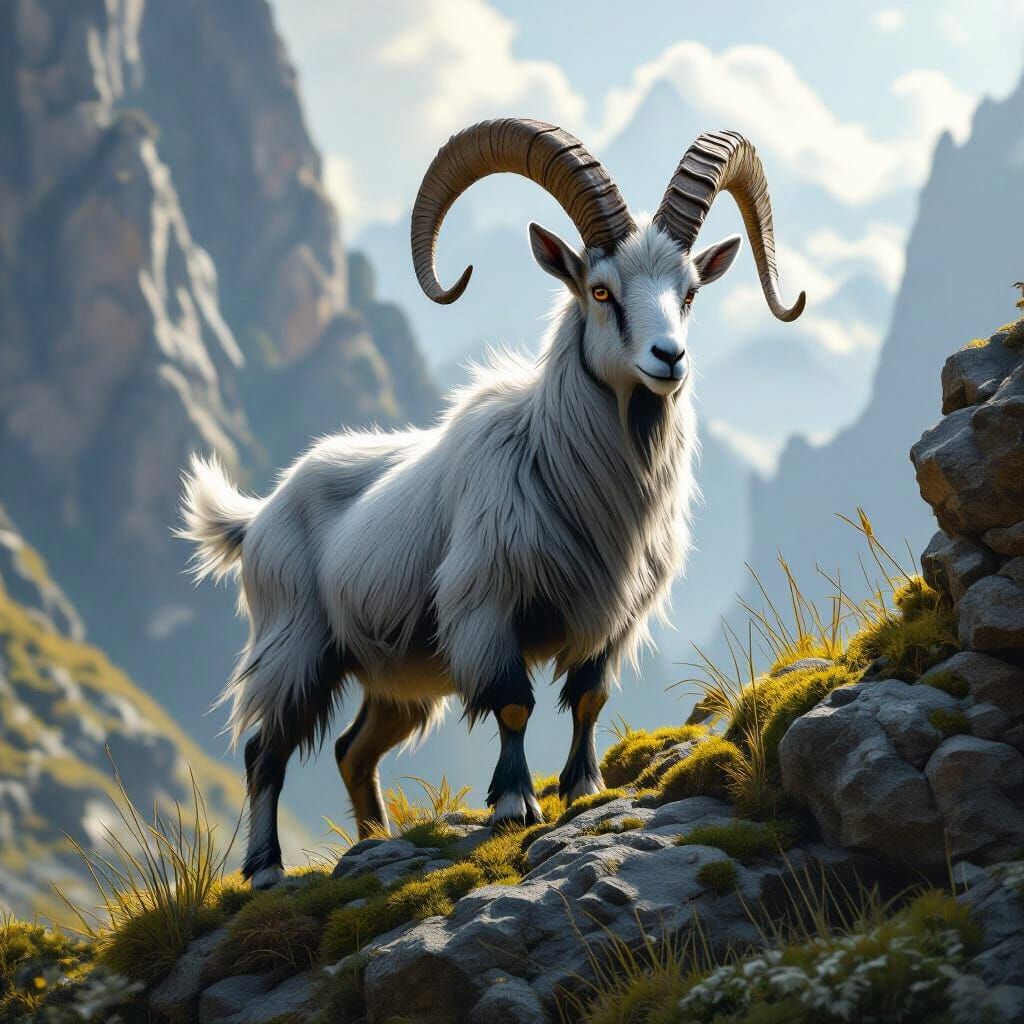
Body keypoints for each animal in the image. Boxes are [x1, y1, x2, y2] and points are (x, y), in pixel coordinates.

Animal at [180, 120, 805, 887]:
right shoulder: (486, 606)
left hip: (399, 675)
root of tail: (256, 517)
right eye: (601, 291)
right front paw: (514, 804)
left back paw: (373, 843)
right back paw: (266, 868)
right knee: (263, 749)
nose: (669, 359)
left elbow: (588, 698)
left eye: (688, 292)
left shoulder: (611, 620)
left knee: (353, 750)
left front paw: (584, 788)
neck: (560, 467)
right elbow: (513, 703)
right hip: (295, 645)